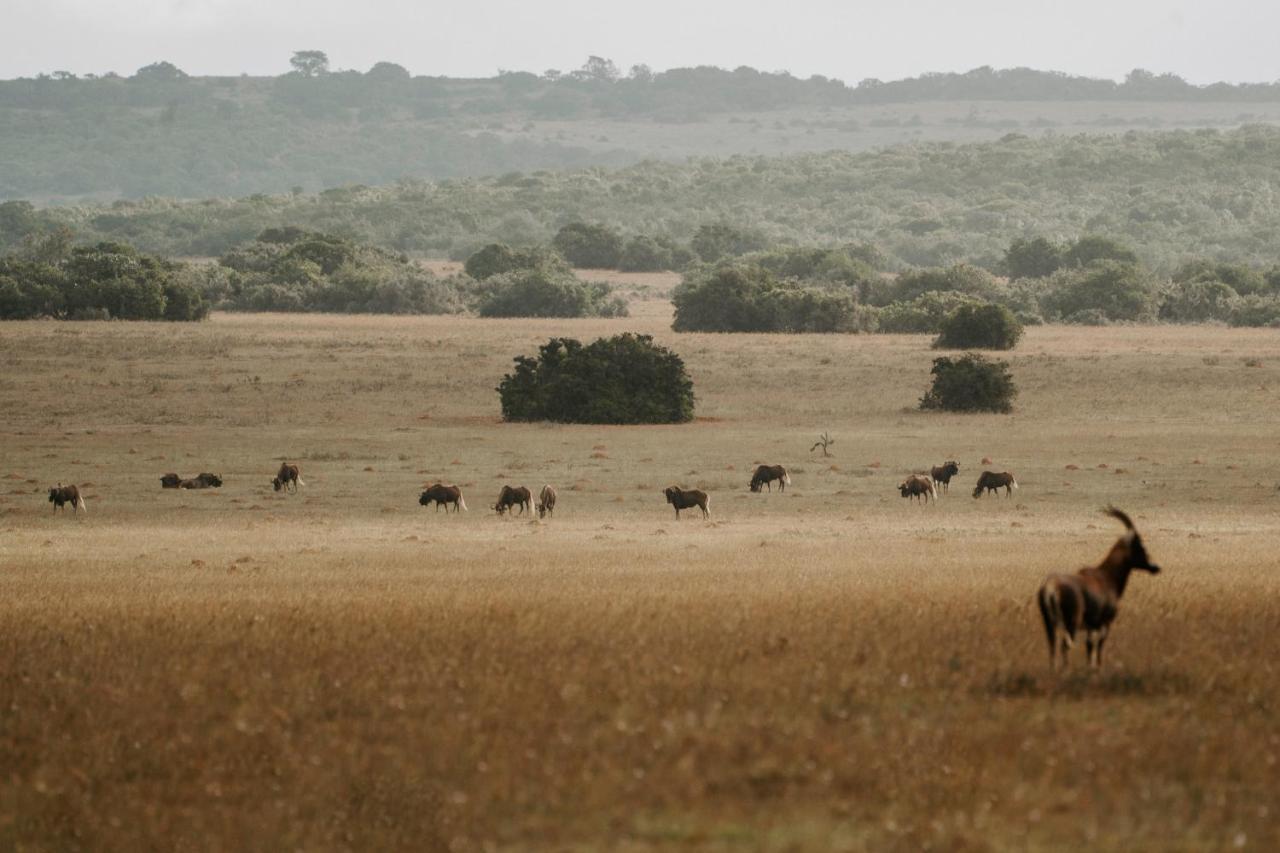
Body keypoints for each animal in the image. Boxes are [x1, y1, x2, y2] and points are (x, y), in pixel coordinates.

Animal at [1034, 504, 1167, 671]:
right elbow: (1099, 646)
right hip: (1072, 622)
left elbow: (1089, 645)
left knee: (1052, 646)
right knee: (1065, 645)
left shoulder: (1092, 625)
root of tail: (1051, 587)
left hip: (1049, 623)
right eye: (1140, 545)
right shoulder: (1105, 623)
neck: (1105, 576)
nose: (1155, 567)